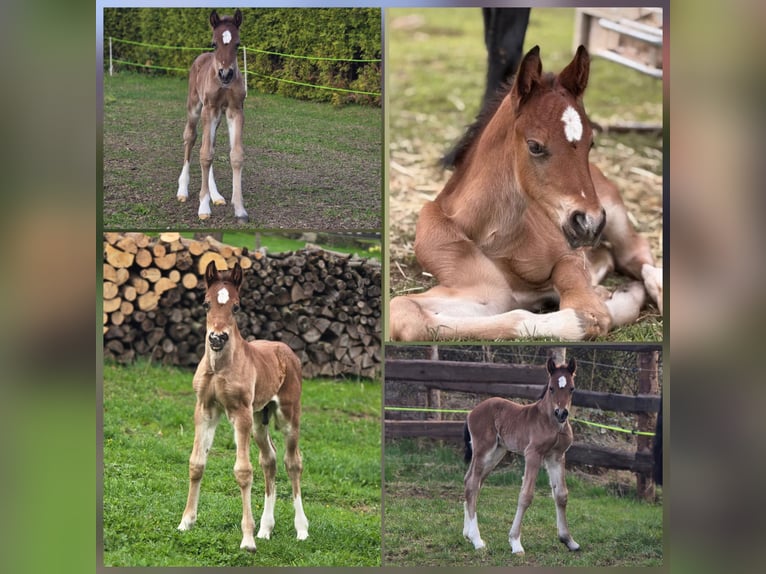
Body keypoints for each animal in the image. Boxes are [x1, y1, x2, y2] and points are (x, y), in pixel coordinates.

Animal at [176, 9, 249, 222]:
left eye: (237, 44)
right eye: (214, 43)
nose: (226, 74)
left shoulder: (235, 110)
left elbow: (235, 155)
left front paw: (240, 209)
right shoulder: (209, 109)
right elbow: (205, 154)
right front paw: (203, 207)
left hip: (216, 117)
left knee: (210, 146)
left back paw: (215, 196)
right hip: (195, 108)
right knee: (191, 138)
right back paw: (182, 190)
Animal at [177, 261, 308, 551]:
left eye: (236, 306)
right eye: (205, 303)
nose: (217, 338)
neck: (219, 366)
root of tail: (287, 351)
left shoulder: (241, 413)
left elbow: (243, 471)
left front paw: (247, 540)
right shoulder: (205, 410)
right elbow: (196, 463)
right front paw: (185, 523)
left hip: (288, 415)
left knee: (292, 461)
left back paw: (301, 529)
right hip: (260, 419)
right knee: (269, 459)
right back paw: (266, 529)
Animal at [389, 45, 663, 341]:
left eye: (591, 142)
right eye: (535, 146)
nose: (589, 223)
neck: (496, 236)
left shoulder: (569, 256)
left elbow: (592, 313)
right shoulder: (485, 292)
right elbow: (403, 310)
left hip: (612, 210)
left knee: (635, 253)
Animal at [463, 357, 579, 554]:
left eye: (571, 388)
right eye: (551, 388)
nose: (561, 413)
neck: (550, 422)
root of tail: (471, 412)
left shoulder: (556, 456)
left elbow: (561, 495)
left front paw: (568, 540)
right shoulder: (533, 454)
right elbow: (526, 495)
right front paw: (515, 542)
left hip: (497, 453)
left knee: (471, 481)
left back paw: (467, 533)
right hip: (483, 450)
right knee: (472, 483)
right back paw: (477, 540)